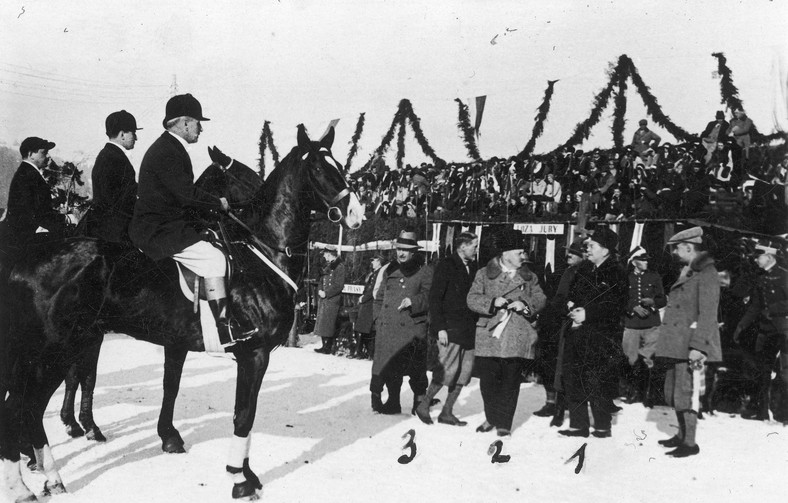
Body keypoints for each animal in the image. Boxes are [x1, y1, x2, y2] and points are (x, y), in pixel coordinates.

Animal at [57, 146, 264, 444]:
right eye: (245, 175)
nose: (263, 198)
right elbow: (85, 374)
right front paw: (84, 424)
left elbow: (78, 373)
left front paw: (75, 422)